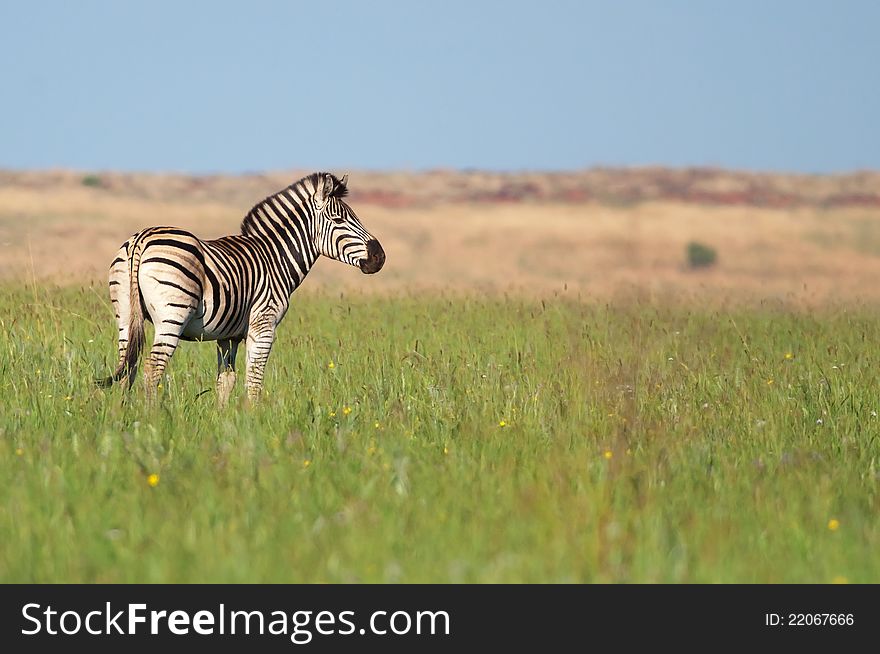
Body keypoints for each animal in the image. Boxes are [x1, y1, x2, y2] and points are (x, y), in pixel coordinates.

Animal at [98, 170, 384, 404]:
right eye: (338, 220)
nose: (379, 257)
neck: (275, 258)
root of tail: (141, 238)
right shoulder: (263, 325)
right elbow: (254, 381)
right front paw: (254, 424)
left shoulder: (228, 335)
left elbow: (226, 381)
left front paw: (224, 423)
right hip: (173, 314)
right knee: (152, 368)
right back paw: (152, 417)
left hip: (125, 314)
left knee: (128, 367)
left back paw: (122, 415)